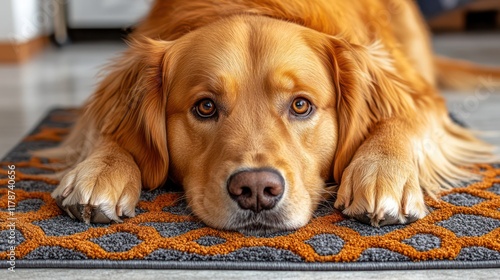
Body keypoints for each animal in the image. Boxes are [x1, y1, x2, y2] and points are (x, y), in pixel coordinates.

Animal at [33, 0, 498, 233]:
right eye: (205, 106)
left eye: (301, 105)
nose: (256, 189)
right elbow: (111, 129)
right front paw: (101, 169)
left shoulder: (420, 96)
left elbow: (401, 117)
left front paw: (383, 173)